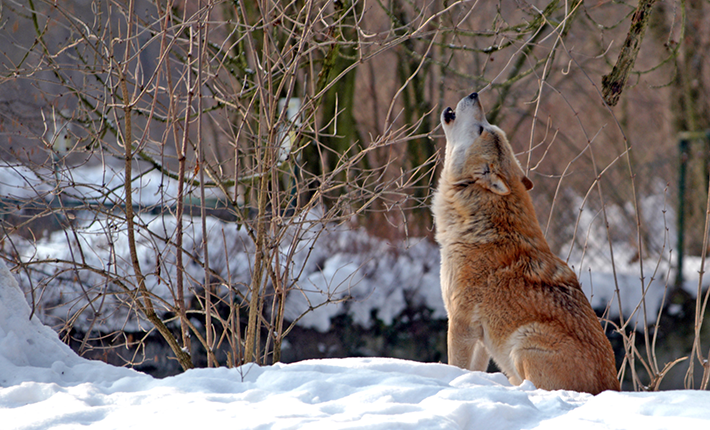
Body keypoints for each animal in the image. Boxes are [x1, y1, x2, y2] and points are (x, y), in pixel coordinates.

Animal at [432, 92, 620, 394]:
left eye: (483, 128)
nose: (475, 94)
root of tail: (611, 387)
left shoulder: (460, 323)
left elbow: (456, 367)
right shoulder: (480, 337)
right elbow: (472, 370)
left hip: (523, 342)